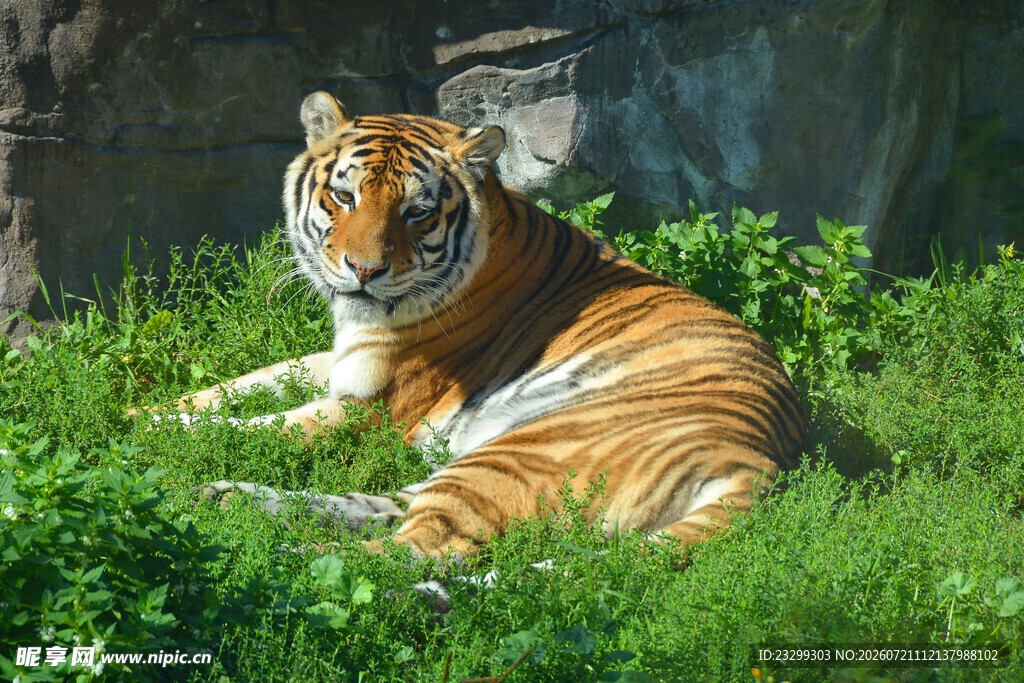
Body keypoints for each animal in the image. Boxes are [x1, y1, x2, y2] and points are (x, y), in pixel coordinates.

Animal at [175, 91, 804, 562]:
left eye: (417, 213)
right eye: (343, 195)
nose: (364, 271)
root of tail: (761, 462)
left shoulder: (369, 407)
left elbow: (250, 426)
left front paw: (155, 441)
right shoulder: (339, 358)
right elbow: (233, 389)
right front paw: (161, 412)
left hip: (516, 452)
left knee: (414, 550)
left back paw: (270, 559)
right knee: (382, 508)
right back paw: (226, 499)